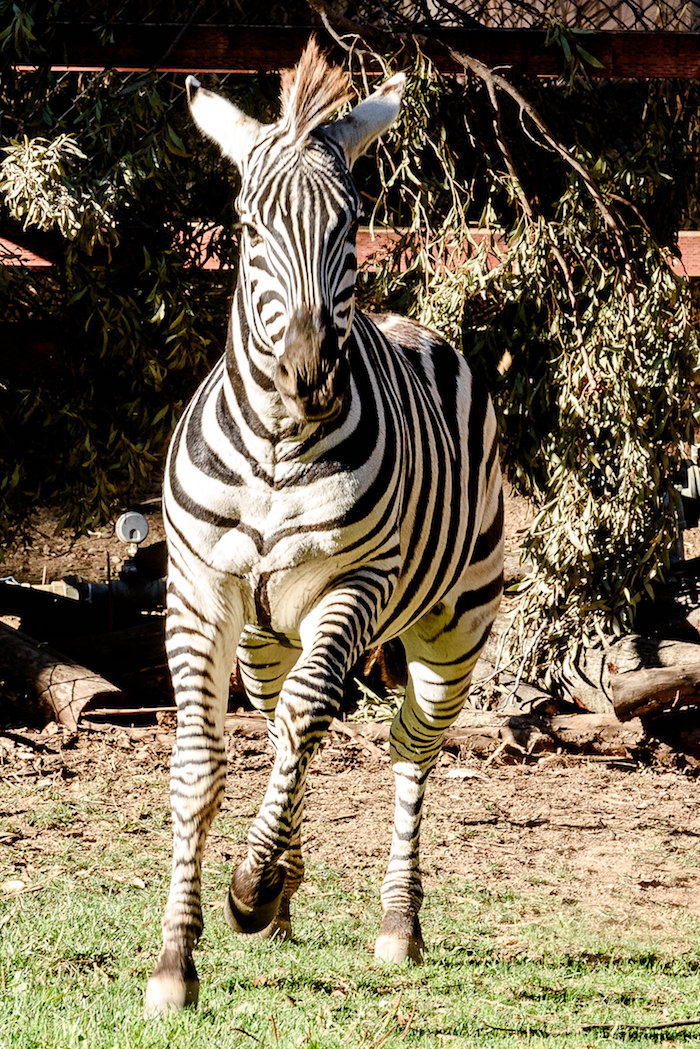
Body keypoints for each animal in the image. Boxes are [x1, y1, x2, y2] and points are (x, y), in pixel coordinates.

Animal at [145, 41, 504, 1015]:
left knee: (407, 745)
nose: (309, 373)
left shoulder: (356, 584)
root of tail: (414, 323)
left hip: (454, 624)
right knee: (279, 722)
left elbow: (312, 716)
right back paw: (282, 894)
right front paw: (179, 957)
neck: (277, 443)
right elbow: (201, 765)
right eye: (247, 228)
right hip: (266, 632)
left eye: (350, 229)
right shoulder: (199, 589)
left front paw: (246, 885)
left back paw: (394, 922)